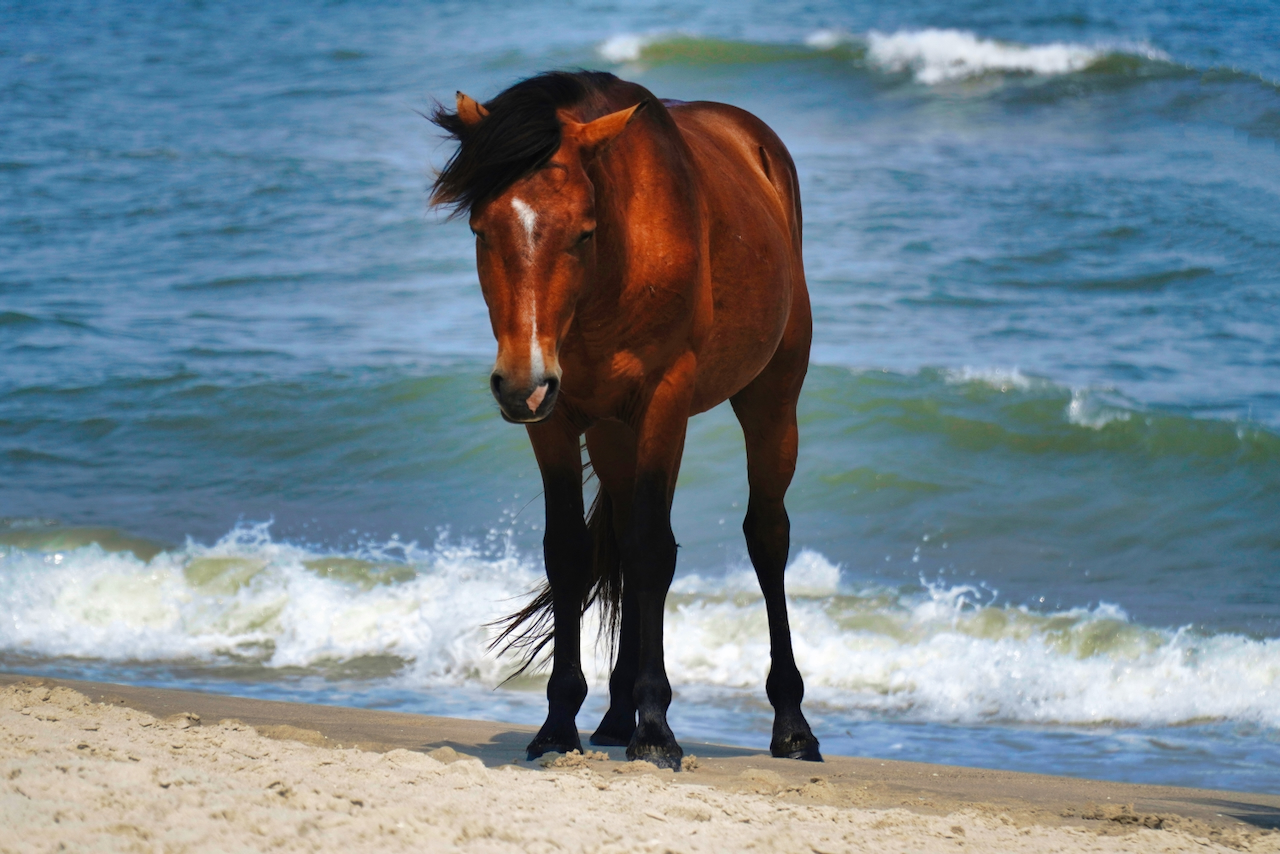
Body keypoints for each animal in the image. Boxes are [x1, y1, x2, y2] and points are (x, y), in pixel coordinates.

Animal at [430, 70, 820, 770]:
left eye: (584, 232)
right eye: (479, 228)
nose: (521, 383)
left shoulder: (665, 399)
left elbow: (651, 552)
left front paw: (657, 729)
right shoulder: (555, 420)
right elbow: (569, 554)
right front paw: (558, 723)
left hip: (772, 401)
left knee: (766, 537)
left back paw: (792, 725)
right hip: (612, 432)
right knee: (621, 538)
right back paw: (614, 716)